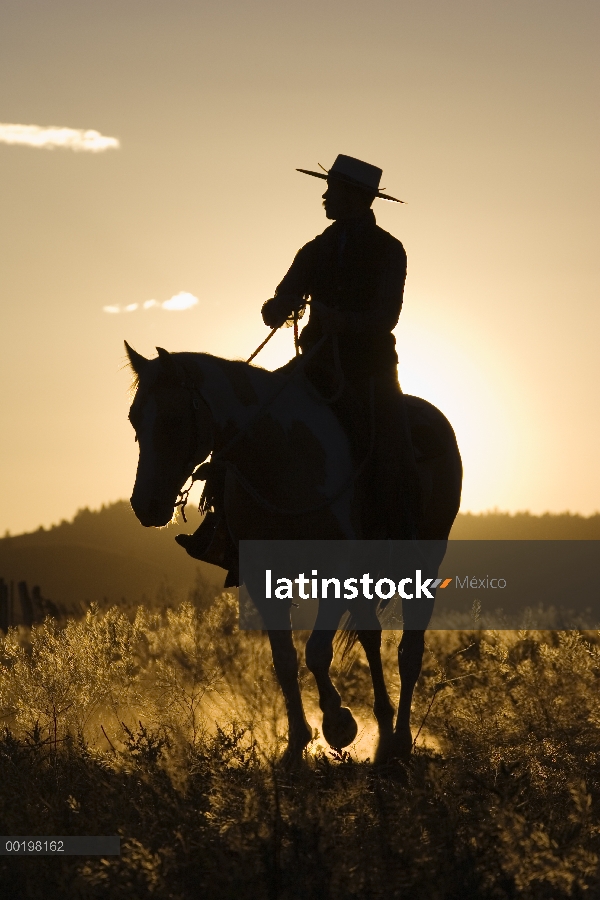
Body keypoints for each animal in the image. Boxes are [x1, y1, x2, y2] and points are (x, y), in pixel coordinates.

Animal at [125, 344, 464, 768]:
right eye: (134, 417)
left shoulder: (338, 571)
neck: (281, 456)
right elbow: (284, 659)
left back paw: (400, 742)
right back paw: (384, 735)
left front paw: (338, 723)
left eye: (172, 419)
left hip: (424, 561)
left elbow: (316, 651)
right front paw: (296, 746)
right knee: (371, 636)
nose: (145, 506)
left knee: (409, 652)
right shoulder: (261, 576)